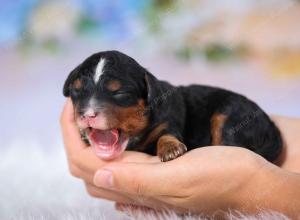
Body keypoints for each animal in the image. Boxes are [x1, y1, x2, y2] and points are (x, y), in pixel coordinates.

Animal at [62, 50, 282, 162]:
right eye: (77, 91)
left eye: (120, 93)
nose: (87, 115)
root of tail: (272, 127)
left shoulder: (167, 122)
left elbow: (167, 134)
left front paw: (170, 148)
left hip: (230, 115)